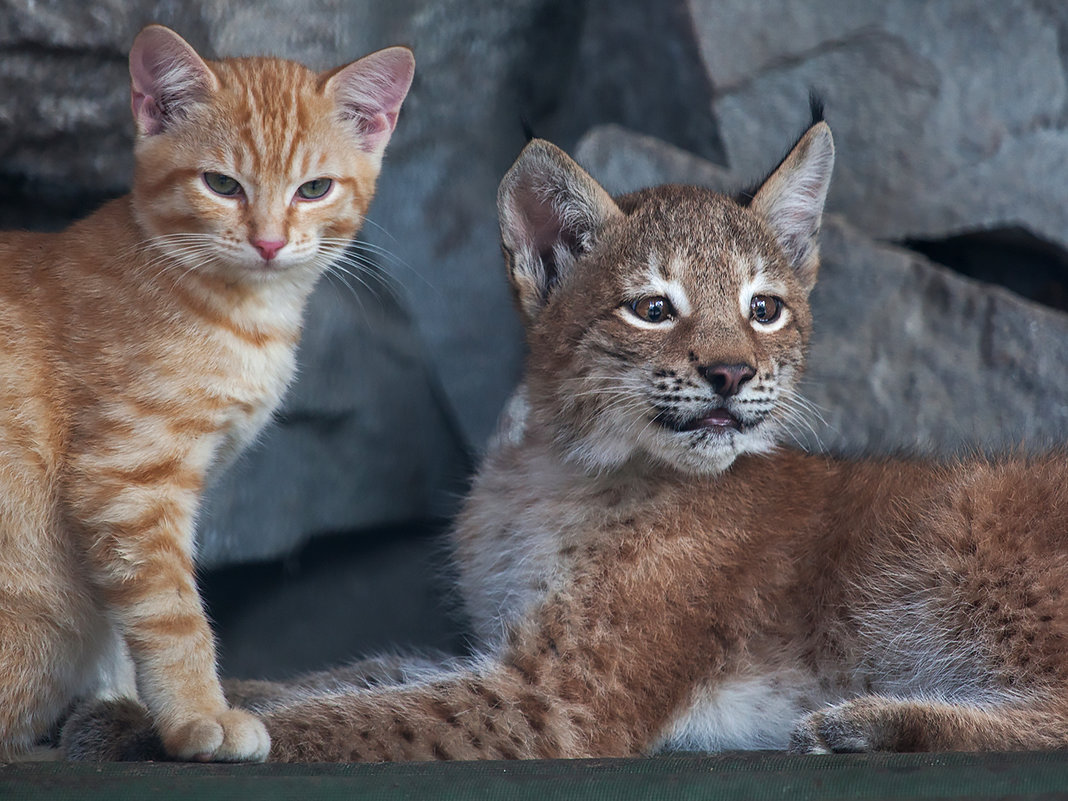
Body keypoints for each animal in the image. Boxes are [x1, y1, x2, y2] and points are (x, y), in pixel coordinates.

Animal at [0, 21, 412, 760]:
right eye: (222, 184)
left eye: (314, 188)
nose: (270, 242)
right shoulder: (127, 481)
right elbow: (173, 615)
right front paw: (199, 714)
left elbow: (124, 624)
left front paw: (129, 712)